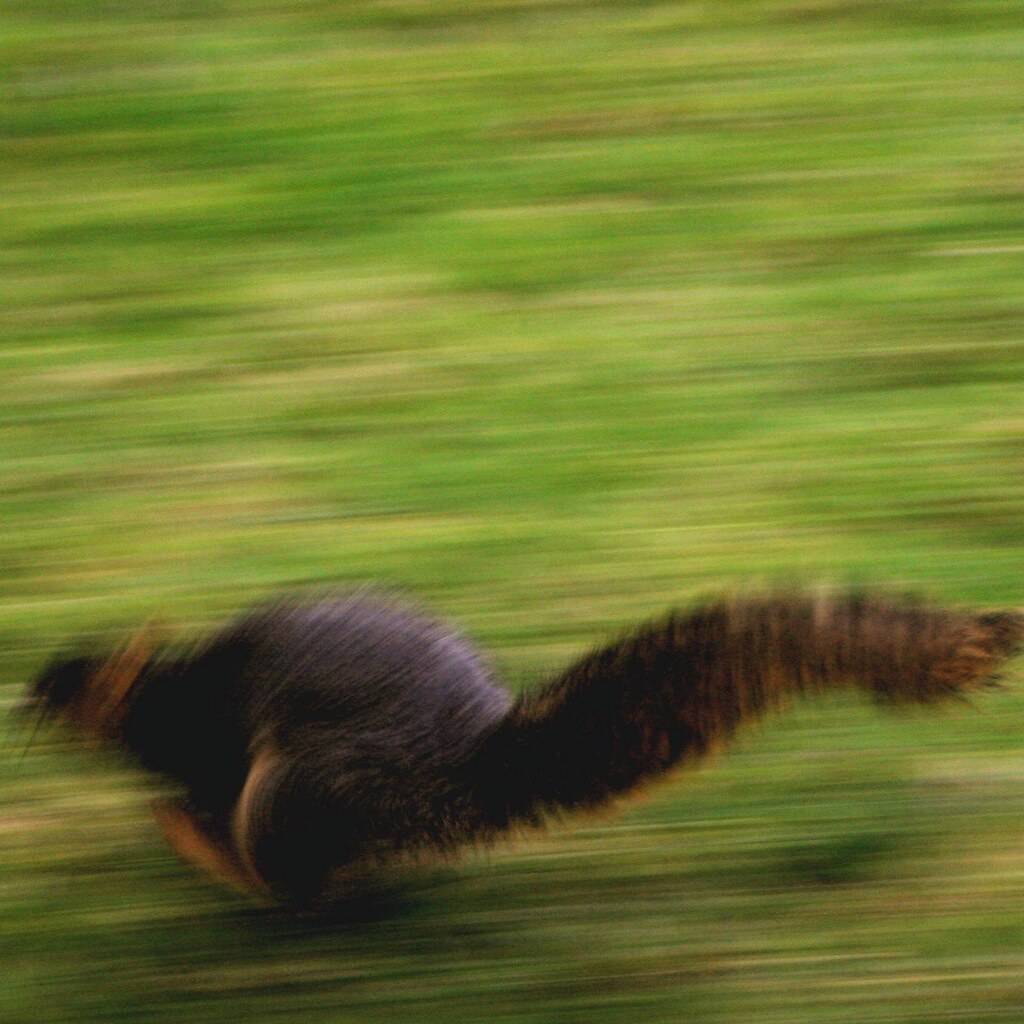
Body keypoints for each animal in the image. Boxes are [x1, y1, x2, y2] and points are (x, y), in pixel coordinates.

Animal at [24, 589, 1024, 907]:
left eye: (72, 685)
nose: (24, 699)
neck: (169, 682)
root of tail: (458, 777)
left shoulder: (200, 732)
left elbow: (194, 769)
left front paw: (174, 807)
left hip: (303, 784)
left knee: (285, 875)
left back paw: (209, 851)